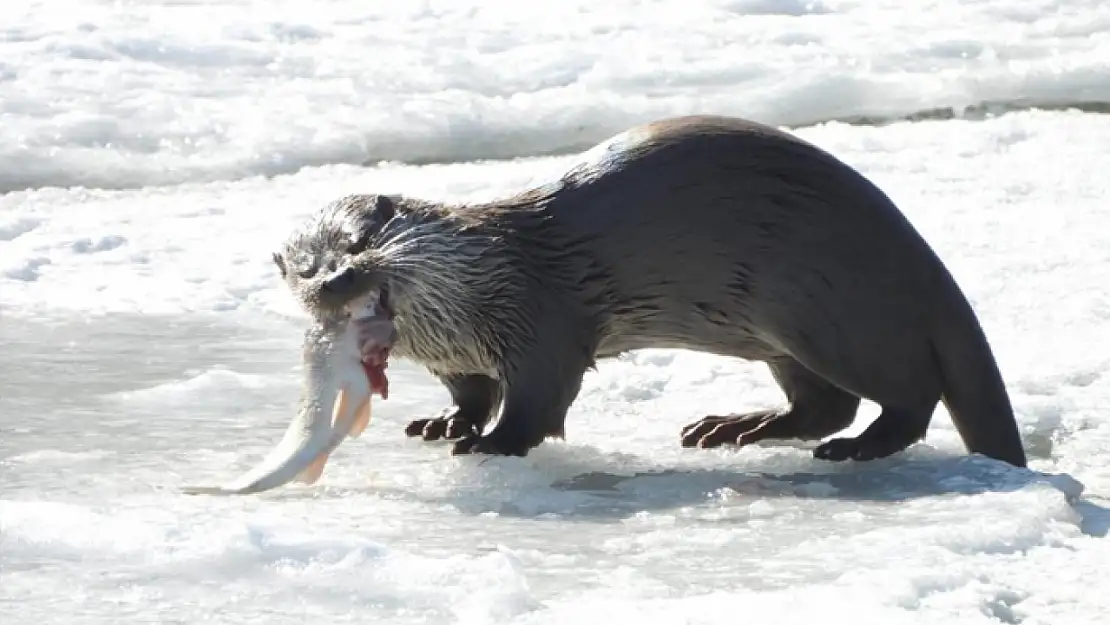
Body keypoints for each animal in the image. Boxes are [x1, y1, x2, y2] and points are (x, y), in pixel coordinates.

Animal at [273, 116, 1025, 470]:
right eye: (304, 266)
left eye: (359, 241)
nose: (336, 281)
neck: (475, 287)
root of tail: (919, 259)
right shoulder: (458, 356)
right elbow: (472, 394)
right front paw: (446, 423)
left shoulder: (540, 319)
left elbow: (539, 398)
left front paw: (493, 443)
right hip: (784, 334)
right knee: (822, 404)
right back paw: (732, 427)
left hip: (833, 311)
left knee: (909, 391)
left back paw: (858, 447)